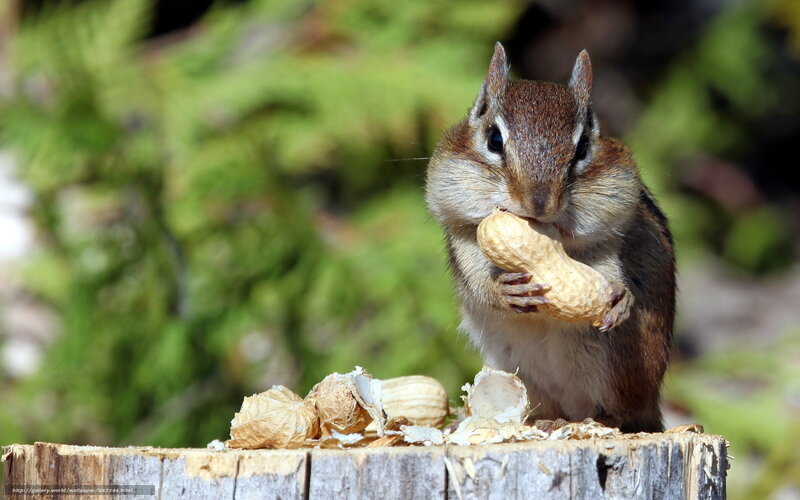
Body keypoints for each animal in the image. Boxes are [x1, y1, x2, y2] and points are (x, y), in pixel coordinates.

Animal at [425, 43, 675, 433]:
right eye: (494, 139)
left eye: (583, 148)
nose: (539, 204)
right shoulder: (464, 239)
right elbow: (479, 283)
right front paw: (504, 291)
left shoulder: (607, 239)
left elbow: (610, 273)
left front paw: (621, 299)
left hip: (614, 362)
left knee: (623, 413)